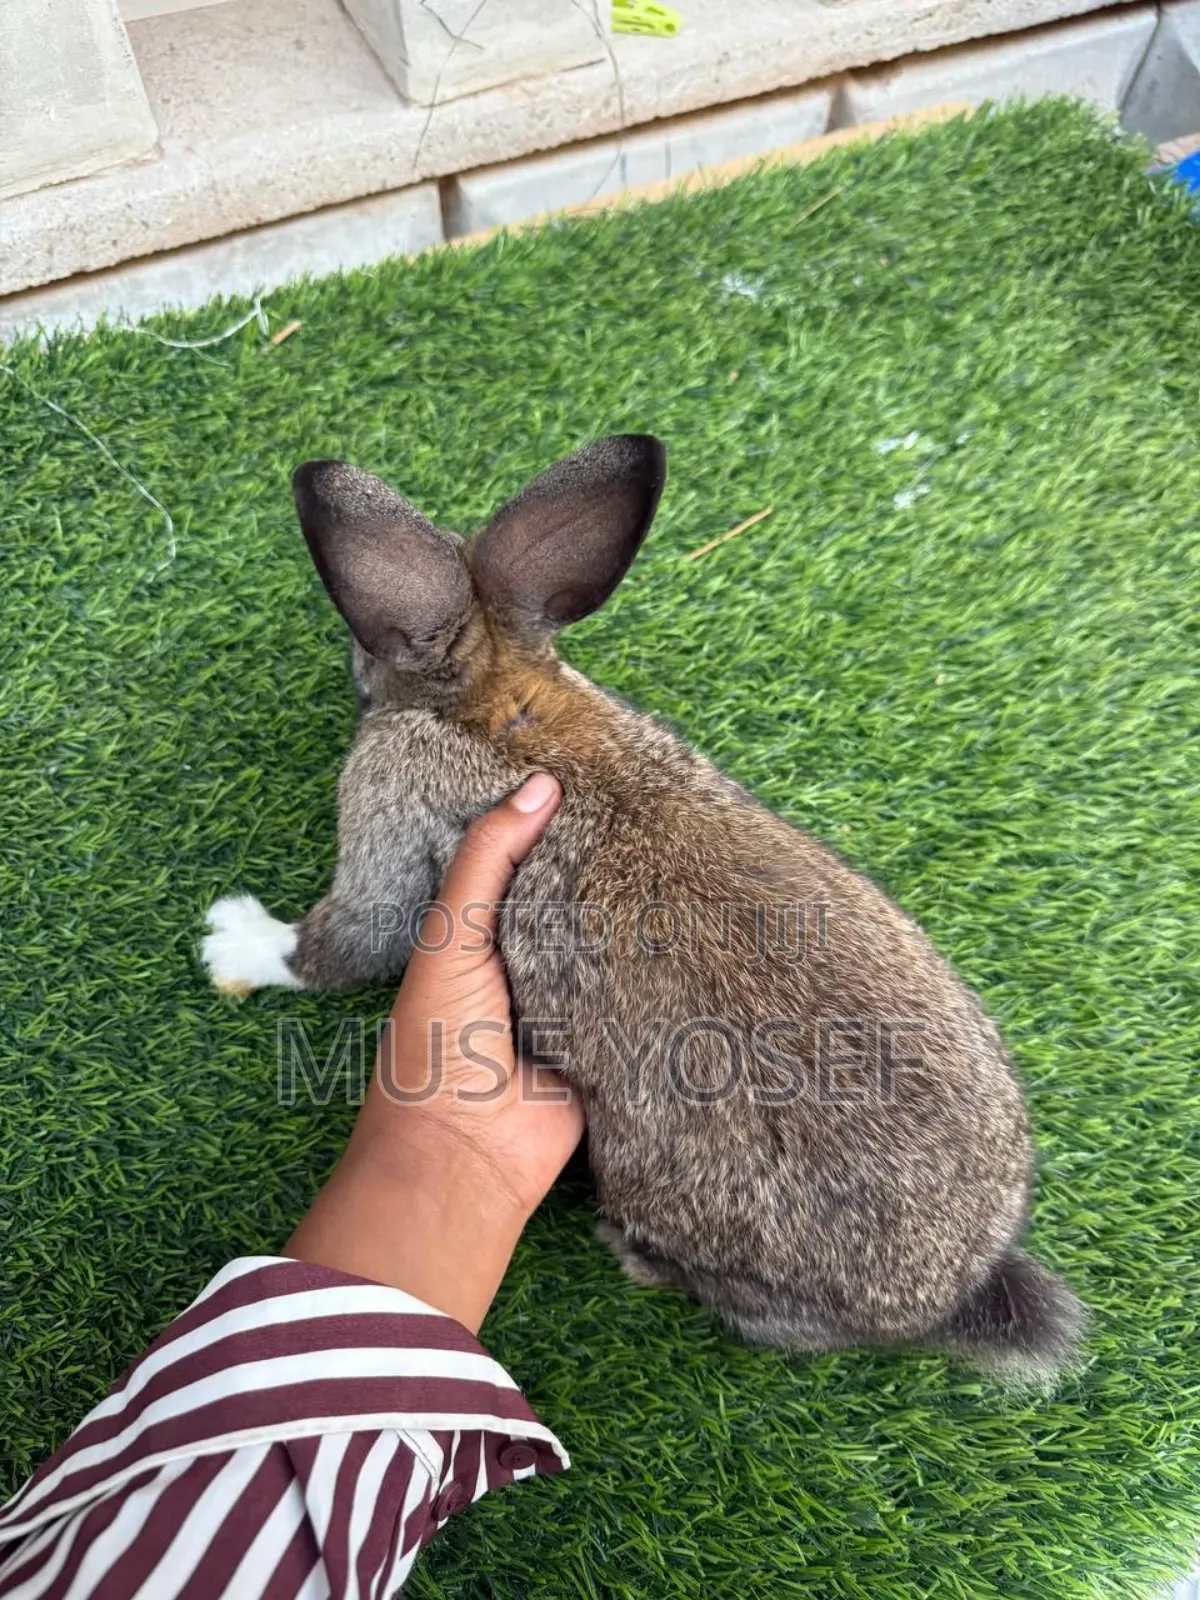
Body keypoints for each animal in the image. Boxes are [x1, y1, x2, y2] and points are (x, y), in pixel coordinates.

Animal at [202, 434, 1085, 1382]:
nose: (354, 673)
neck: (499, 699)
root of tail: (954, 1294)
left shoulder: (390, 822)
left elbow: (348, 939)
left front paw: (233, 943)